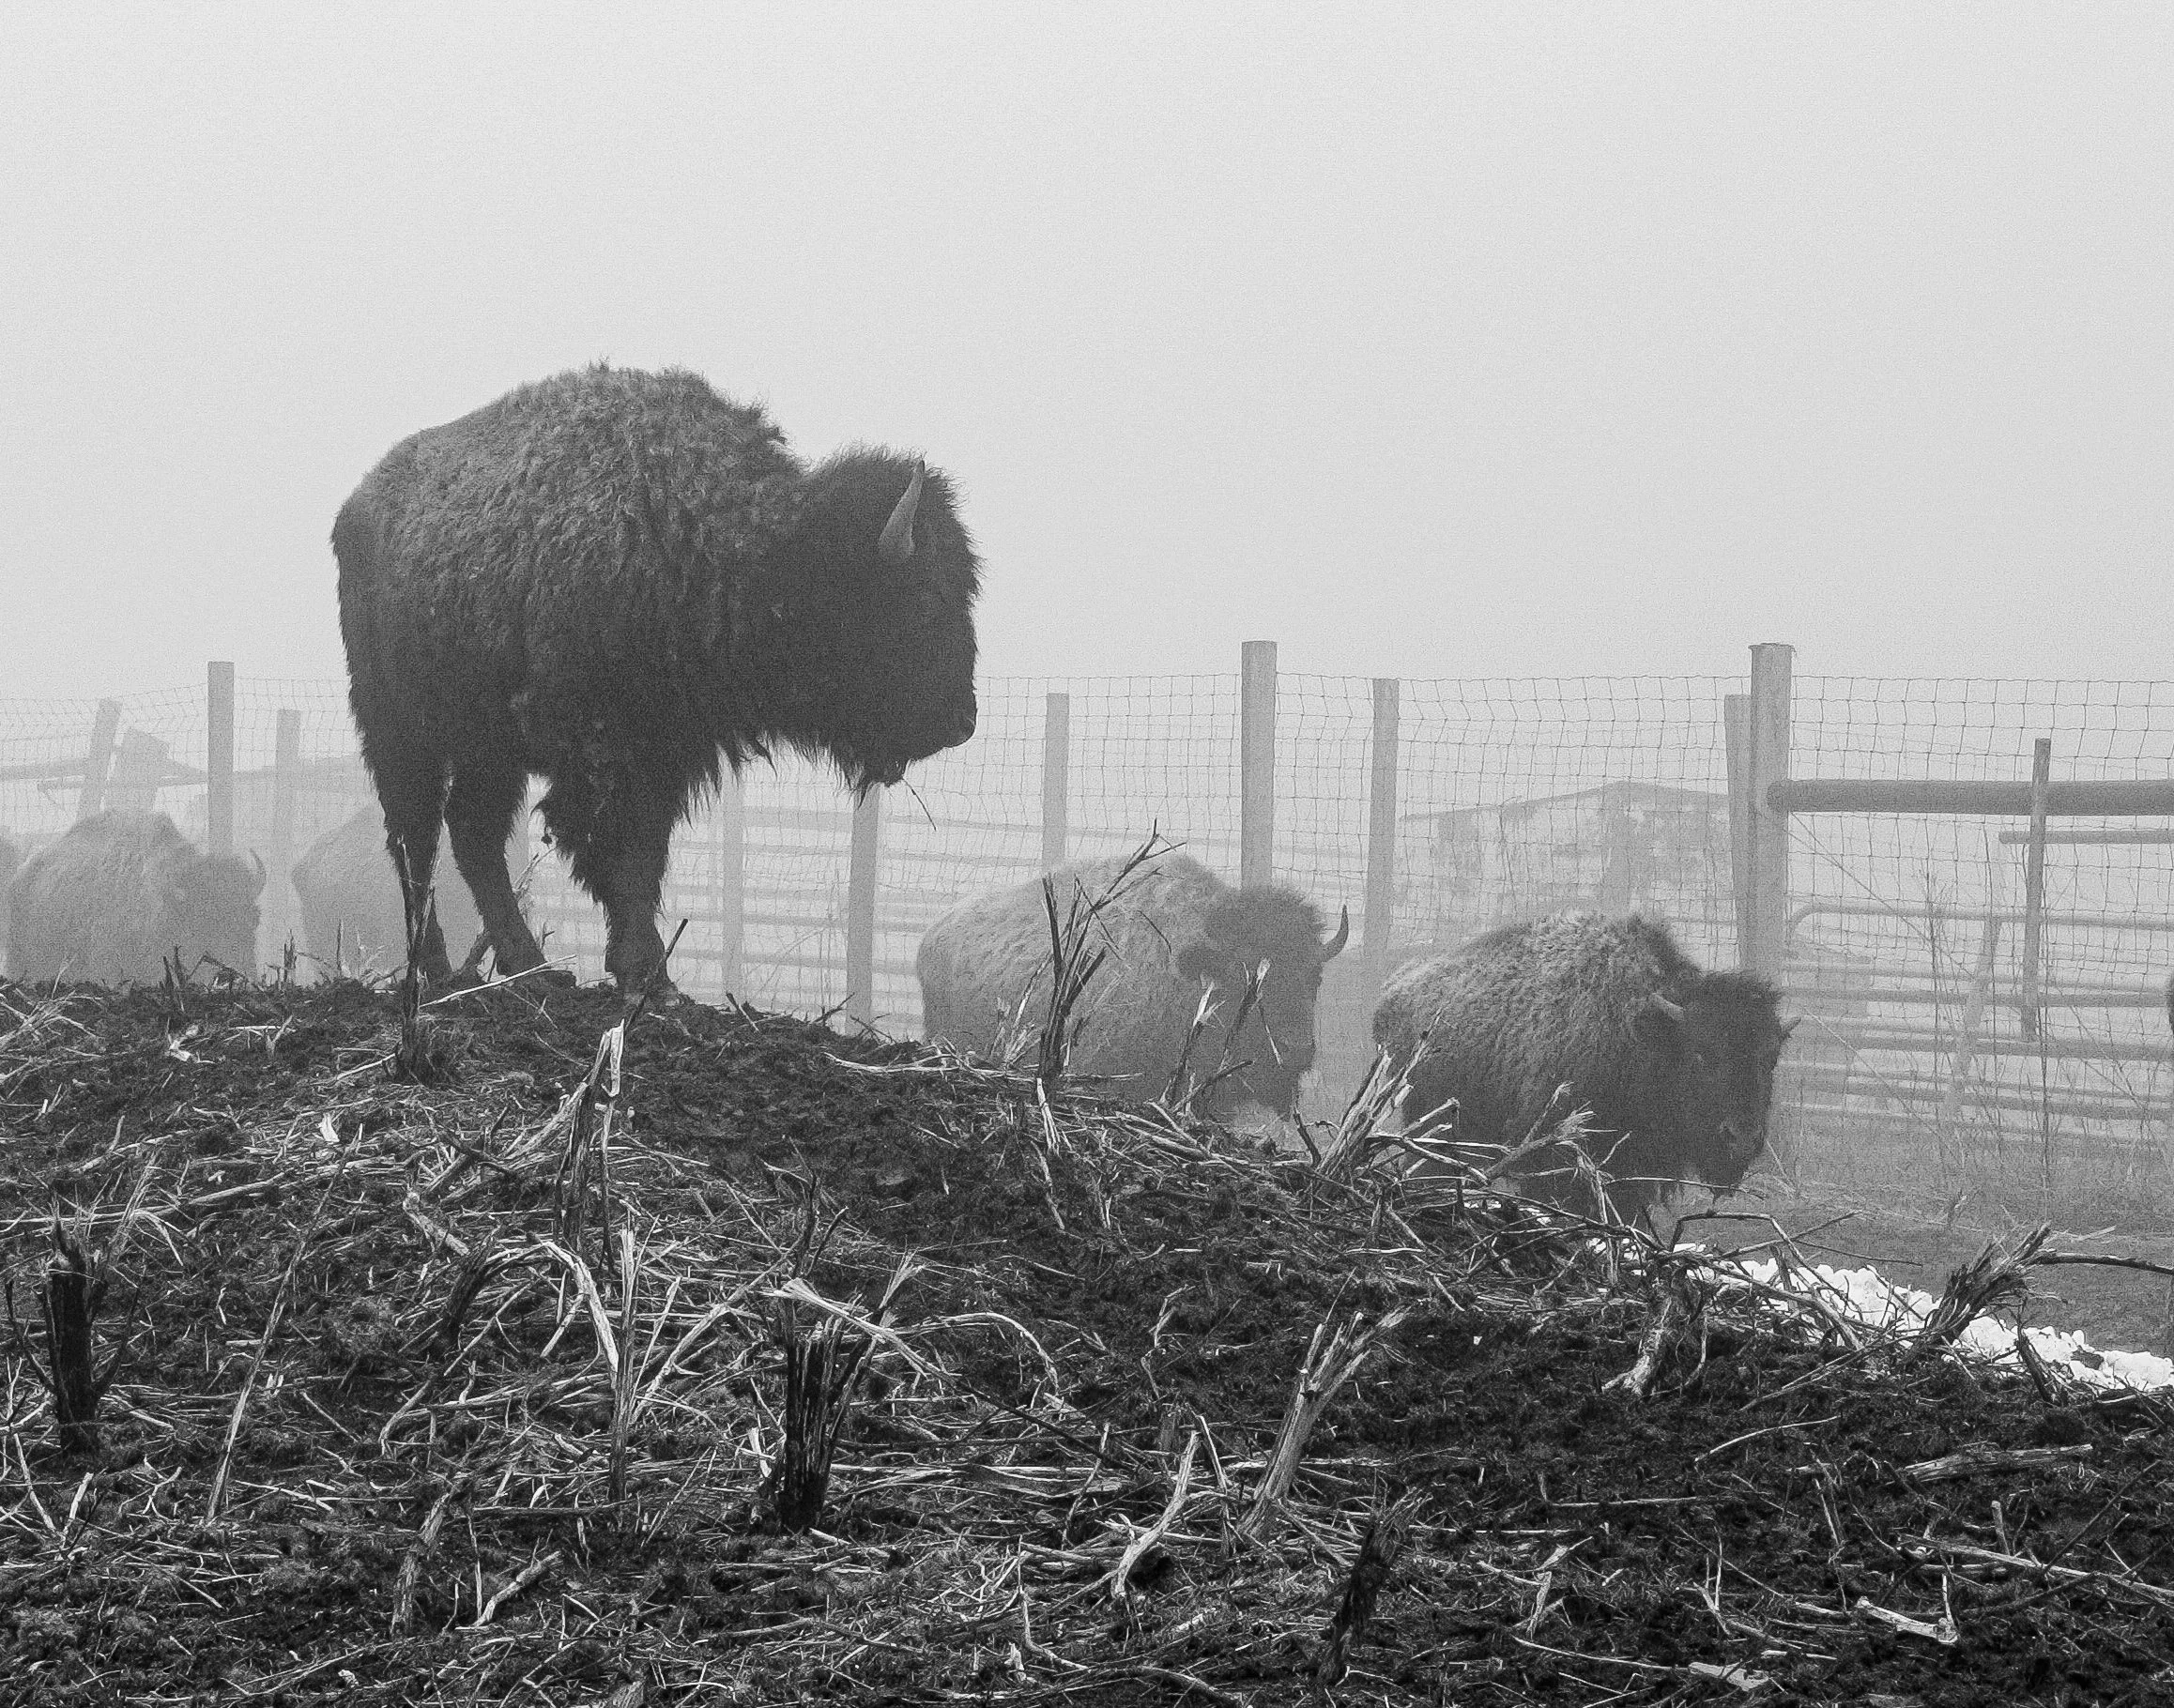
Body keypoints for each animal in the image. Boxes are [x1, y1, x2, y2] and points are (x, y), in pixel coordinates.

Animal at [335, 363, 982, 996]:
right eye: (925, 601)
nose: (962, 722)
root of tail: (356, 506)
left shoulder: (666, 757)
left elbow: (644, 860)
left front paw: (648, 974)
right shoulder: (603, 761)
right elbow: (615, 859)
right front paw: (646, 972)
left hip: (488, 749)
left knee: (473, 836)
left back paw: (532, 970)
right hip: (400, 733)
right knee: (415, 841)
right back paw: (438, 970)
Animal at [1373, 912, 1794, 1218]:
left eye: (1770, 1059)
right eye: (1701, 1055)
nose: (1742, 1138)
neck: (1641, 1030)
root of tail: (1397, 989)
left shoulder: (1631, 1173)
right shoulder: (1559, 1162)